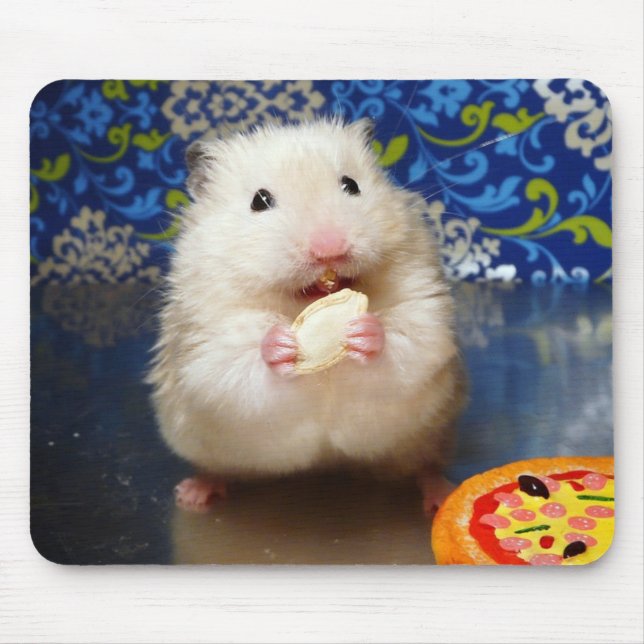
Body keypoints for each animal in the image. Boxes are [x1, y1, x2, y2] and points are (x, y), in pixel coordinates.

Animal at [147, 117, 466, 514]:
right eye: (259, 201)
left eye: (351, 185)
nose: (330, 248)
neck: (300, 304)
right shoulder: (204, 341)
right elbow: (234, 366)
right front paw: (281, 345)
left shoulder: (424, 308)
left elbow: (409, 341)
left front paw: (364, 332)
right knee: (214, 468)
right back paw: (193, 495)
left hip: (429, 436)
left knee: (425, 466)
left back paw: (440, 494)